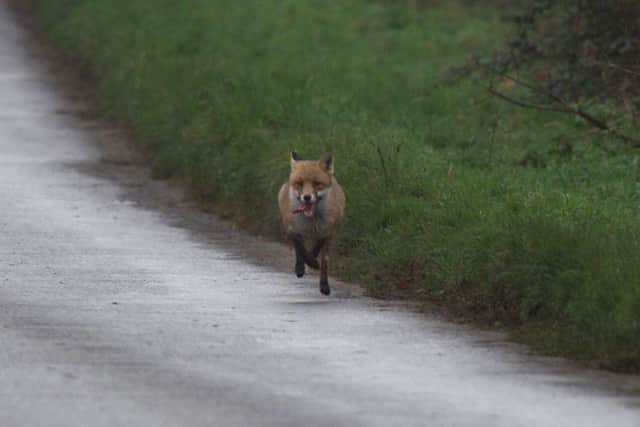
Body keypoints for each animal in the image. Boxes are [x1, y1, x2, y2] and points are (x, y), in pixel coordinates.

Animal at [278, 152, 345, 295]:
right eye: (299, 183)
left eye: (317, 183)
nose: (307, 197)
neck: (311, 223)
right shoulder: (291, 229)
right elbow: (301, 249)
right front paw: (303, 266)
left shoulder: (329, 232)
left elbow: (324, 262)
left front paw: (324, 285)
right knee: (300, 250)